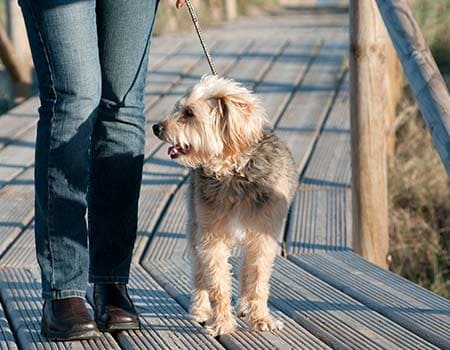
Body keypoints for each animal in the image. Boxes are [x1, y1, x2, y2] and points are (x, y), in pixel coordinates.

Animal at [153, 75, 298, 334]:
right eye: (179, 108)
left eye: (189, 113)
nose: (156, 127)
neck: (234, 172)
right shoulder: (212, 239)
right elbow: (218, 285)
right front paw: (222, 323)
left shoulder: (263, 237)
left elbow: (258, 280)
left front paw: (260, 318)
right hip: (195, 228)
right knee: (199, 273)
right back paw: (201, 310)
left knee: (245, 271)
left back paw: (244, 305)